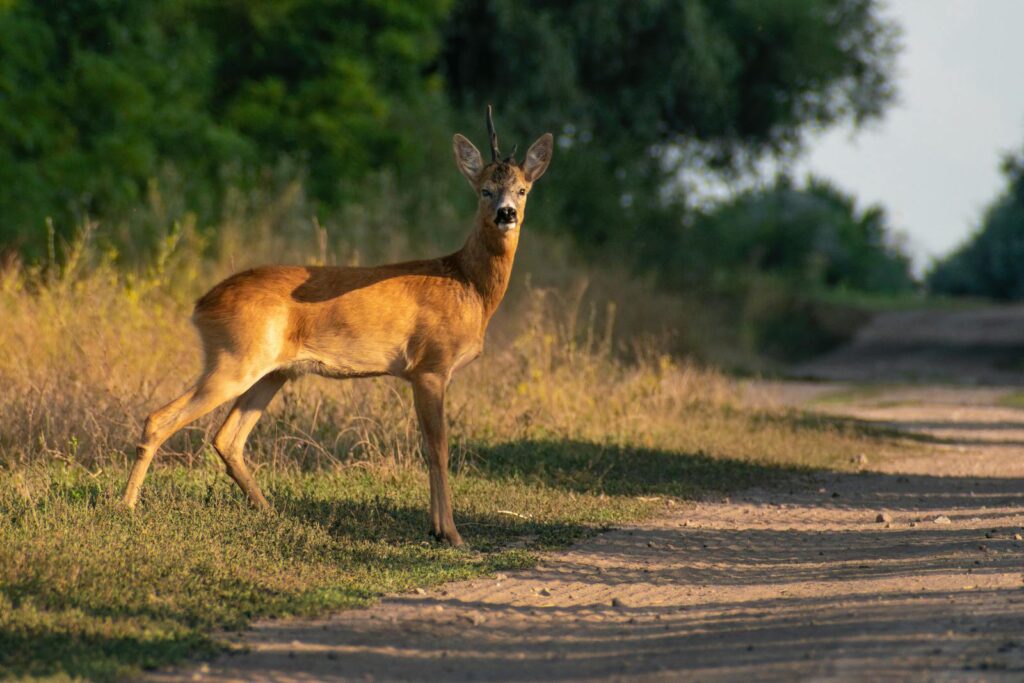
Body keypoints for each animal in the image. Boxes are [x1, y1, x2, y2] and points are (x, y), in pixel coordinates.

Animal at [121, 107, 552, 546]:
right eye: (485, 190)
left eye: (522, 190)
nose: (505, 214)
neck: (468, 285)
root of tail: (200, 306)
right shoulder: (431, 366)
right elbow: (439, 449)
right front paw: (450, 533)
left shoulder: (424, 373)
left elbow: (429, 448)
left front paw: (436, 528)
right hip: (234, 360)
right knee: (160, 420)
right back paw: (126, 506)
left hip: (272, 372)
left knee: (227, 438)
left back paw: (269, 510)